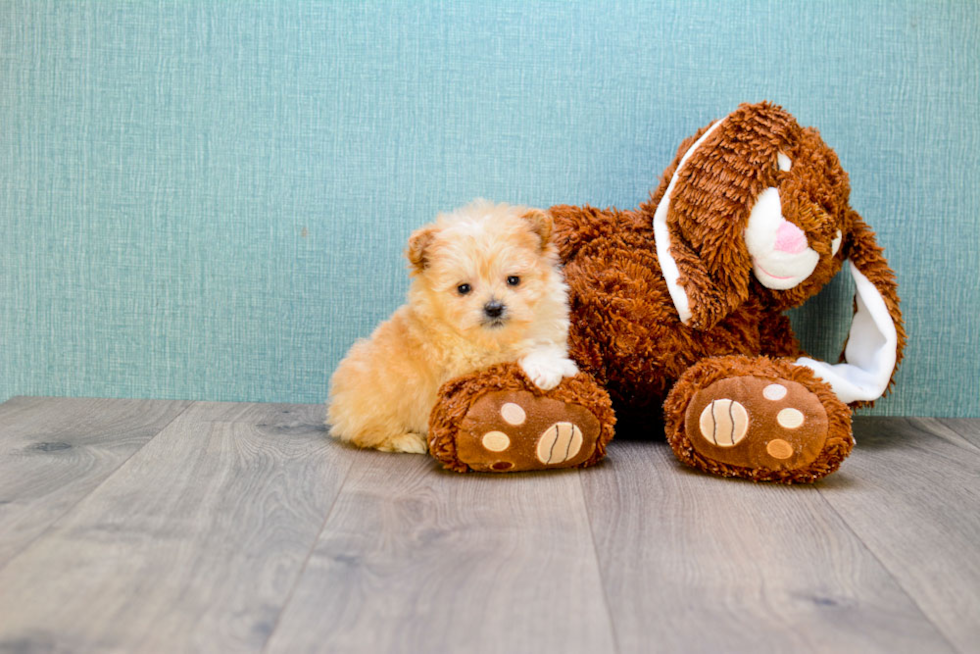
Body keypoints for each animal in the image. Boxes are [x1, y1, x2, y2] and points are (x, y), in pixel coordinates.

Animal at [326, 200, 580, 456]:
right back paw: (407, 440)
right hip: (379, 408)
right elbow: (516, 356)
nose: (494, 307)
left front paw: (555, 362)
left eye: (513, 280)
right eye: (463, 288)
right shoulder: (470, 363)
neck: (498, 337)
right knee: (366, 435)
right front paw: (550, 367)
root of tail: (336, 407)